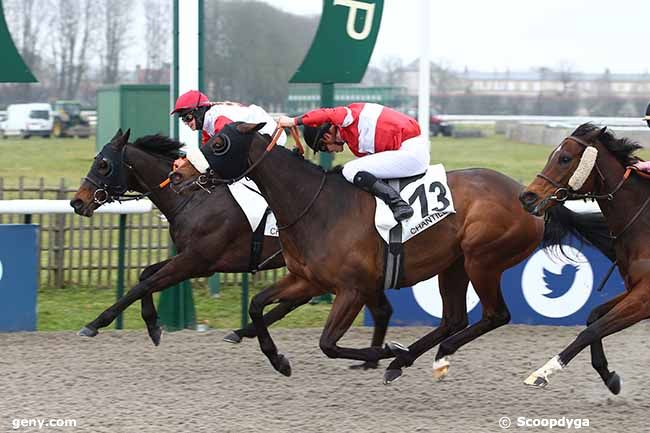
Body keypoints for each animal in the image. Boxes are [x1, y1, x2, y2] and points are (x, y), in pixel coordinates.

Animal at [71, 129, 394, 364]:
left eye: (103, 164)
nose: (77, 202)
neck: (193, 198)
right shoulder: (191, 259)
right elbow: (145, 275)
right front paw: (152, 325)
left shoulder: (196, 261)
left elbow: (143, 284)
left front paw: (97, 323)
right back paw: (243, 332)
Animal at [200, 121, 612, 382]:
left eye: (218, 143)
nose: (194, 173)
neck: (316, 205)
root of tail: (530, 198)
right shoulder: (307, 279)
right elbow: (258, 305)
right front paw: (278, 359)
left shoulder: (351, 289)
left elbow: (328, 343)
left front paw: (381, 351)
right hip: (454, 265)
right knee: (454, 319)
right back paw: (404, 359)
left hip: (481, 259)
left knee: (494, 315)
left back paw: (407, 357)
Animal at [520, 123, 650, 394]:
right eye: (552, 155)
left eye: (565, 158)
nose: (527, 197)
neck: (646, 224)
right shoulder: (635, 289)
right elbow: (593, 318)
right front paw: (609, 376)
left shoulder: (645, 298)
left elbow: (591, 331)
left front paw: (542, 372)